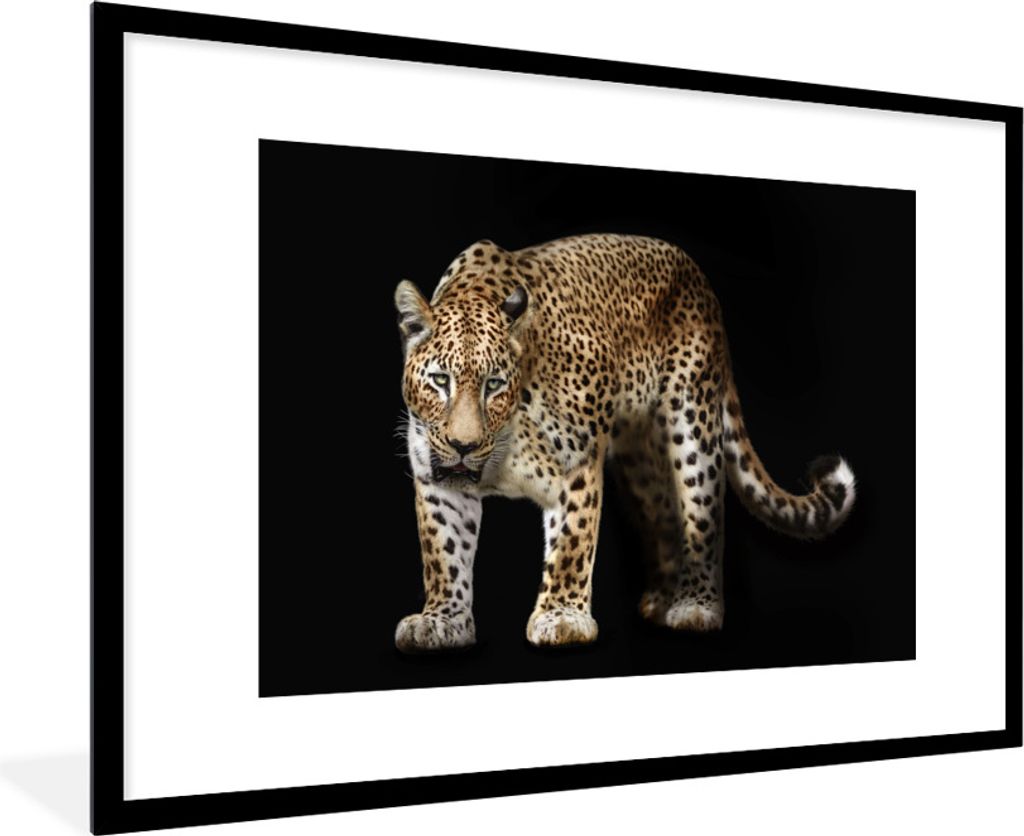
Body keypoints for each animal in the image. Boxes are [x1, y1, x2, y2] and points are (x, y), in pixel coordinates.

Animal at [393, 234, 855, 651]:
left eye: (494, 384)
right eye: (440, 381)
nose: (464, 445)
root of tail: (697, 275)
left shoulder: (577, 462)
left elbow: (572, 542)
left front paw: (562, 617)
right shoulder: (437, 480)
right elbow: (443, 552)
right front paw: (442, 621)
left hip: (693, 421)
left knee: (704, 512)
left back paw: (696, 605)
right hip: (640, 459)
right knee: (665, 514)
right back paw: (661, 601)